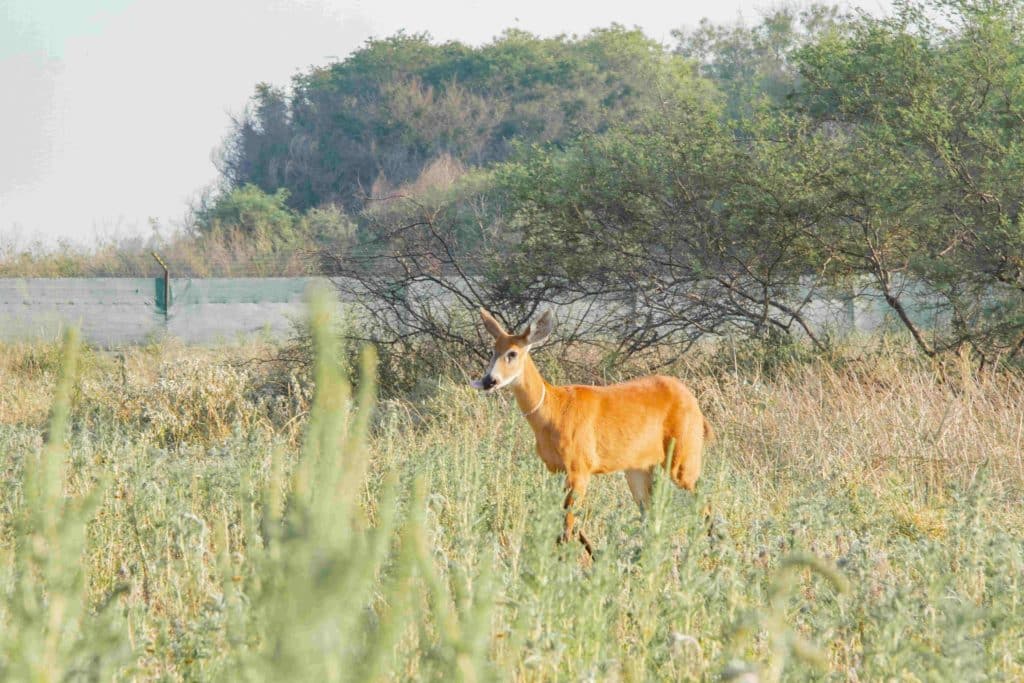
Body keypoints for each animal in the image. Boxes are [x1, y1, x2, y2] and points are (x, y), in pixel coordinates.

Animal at [471, 309, 712, 557]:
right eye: (493, 350)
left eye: (512, 353)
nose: (489, 381)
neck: (554, 411)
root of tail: (694, 403)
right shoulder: (557, 469)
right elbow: (569, 524)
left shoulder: (580, 467)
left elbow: (568, 525)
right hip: (638, 467)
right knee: (650, 513)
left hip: (683, 456)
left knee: (703, 500)